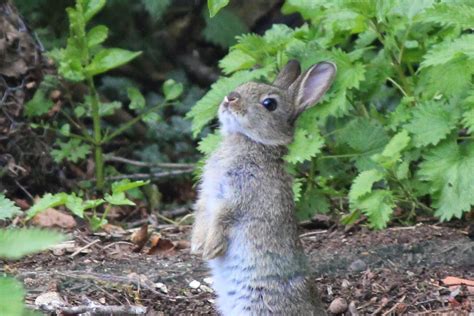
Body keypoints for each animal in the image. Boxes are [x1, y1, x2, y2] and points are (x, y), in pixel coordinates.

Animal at [191, 59, 336, 316]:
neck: (251, 141)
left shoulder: (241, 194)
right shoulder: (207, 194)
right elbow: (202, 212)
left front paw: (211, 249)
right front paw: (197, 246)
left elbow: (224, 217)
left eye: (270, 104)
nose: (230, 97)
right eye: (245, 84)